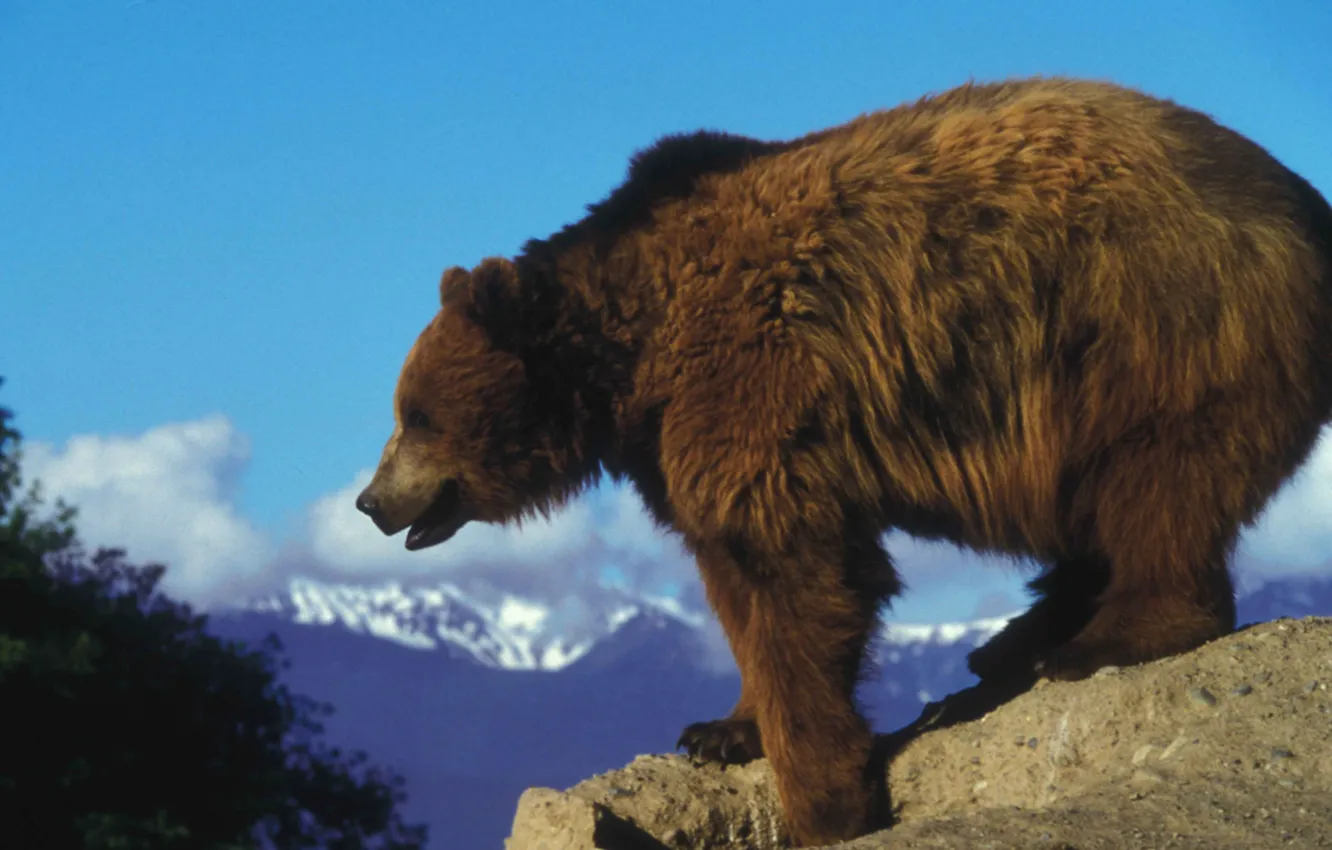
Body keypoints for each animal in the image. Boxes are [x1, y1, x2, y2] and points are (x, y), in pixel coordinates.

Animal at [354, 76, 1332, 846]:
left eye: (415, 415)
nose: (369, 501)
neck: (631, 355)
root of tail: (1304, 204)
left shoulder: (751, 380)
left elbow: (797, 575)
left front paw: (826, 801)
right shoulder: (680, 441)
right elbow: (736, 583)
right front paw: (722, 729)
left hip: (1151, 325)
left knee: (1158, 479)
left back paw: (1100, 639)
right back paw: (1014, 640)